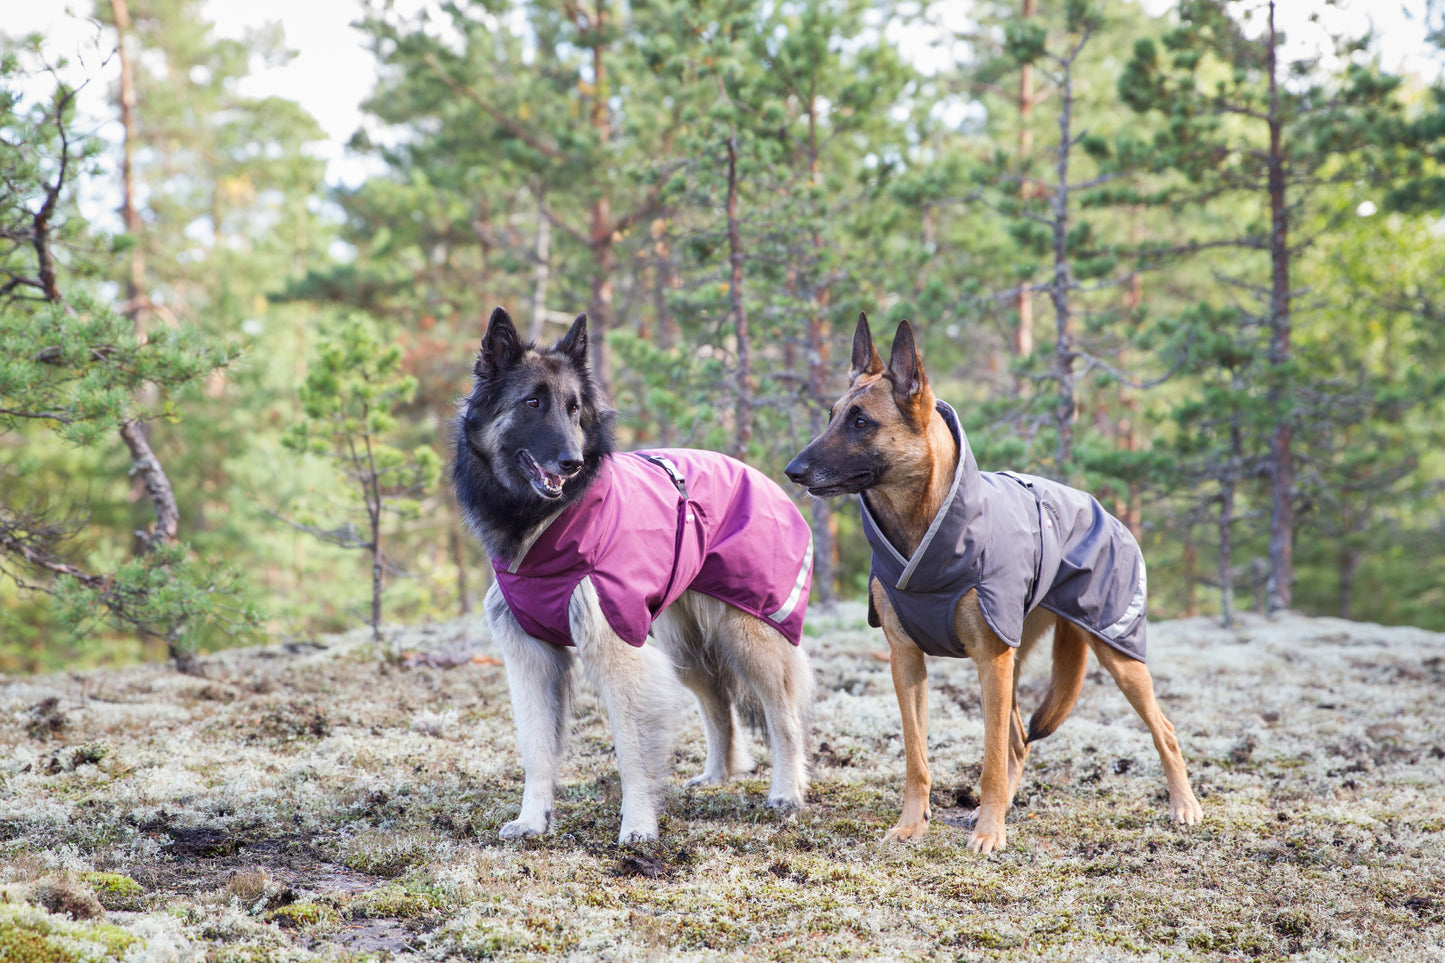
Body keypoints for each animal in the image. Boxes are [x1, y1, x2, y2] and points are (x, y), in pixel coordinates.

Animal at [786, 315, 1202, 850]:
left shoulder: (989, 659)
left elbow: (988, 763)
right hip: (1017, 660)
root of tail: (1104, 510)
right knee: (1020, 741)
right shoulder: (907, 662)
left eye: (861, 422)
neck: (924, 530)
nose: (792, 471)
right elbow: (917, 758)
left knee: (1162, 729)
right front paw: (912, 824)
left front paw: (988, 832)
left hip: (1115, 654)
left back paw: (1183, 805)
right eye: (832, 415)